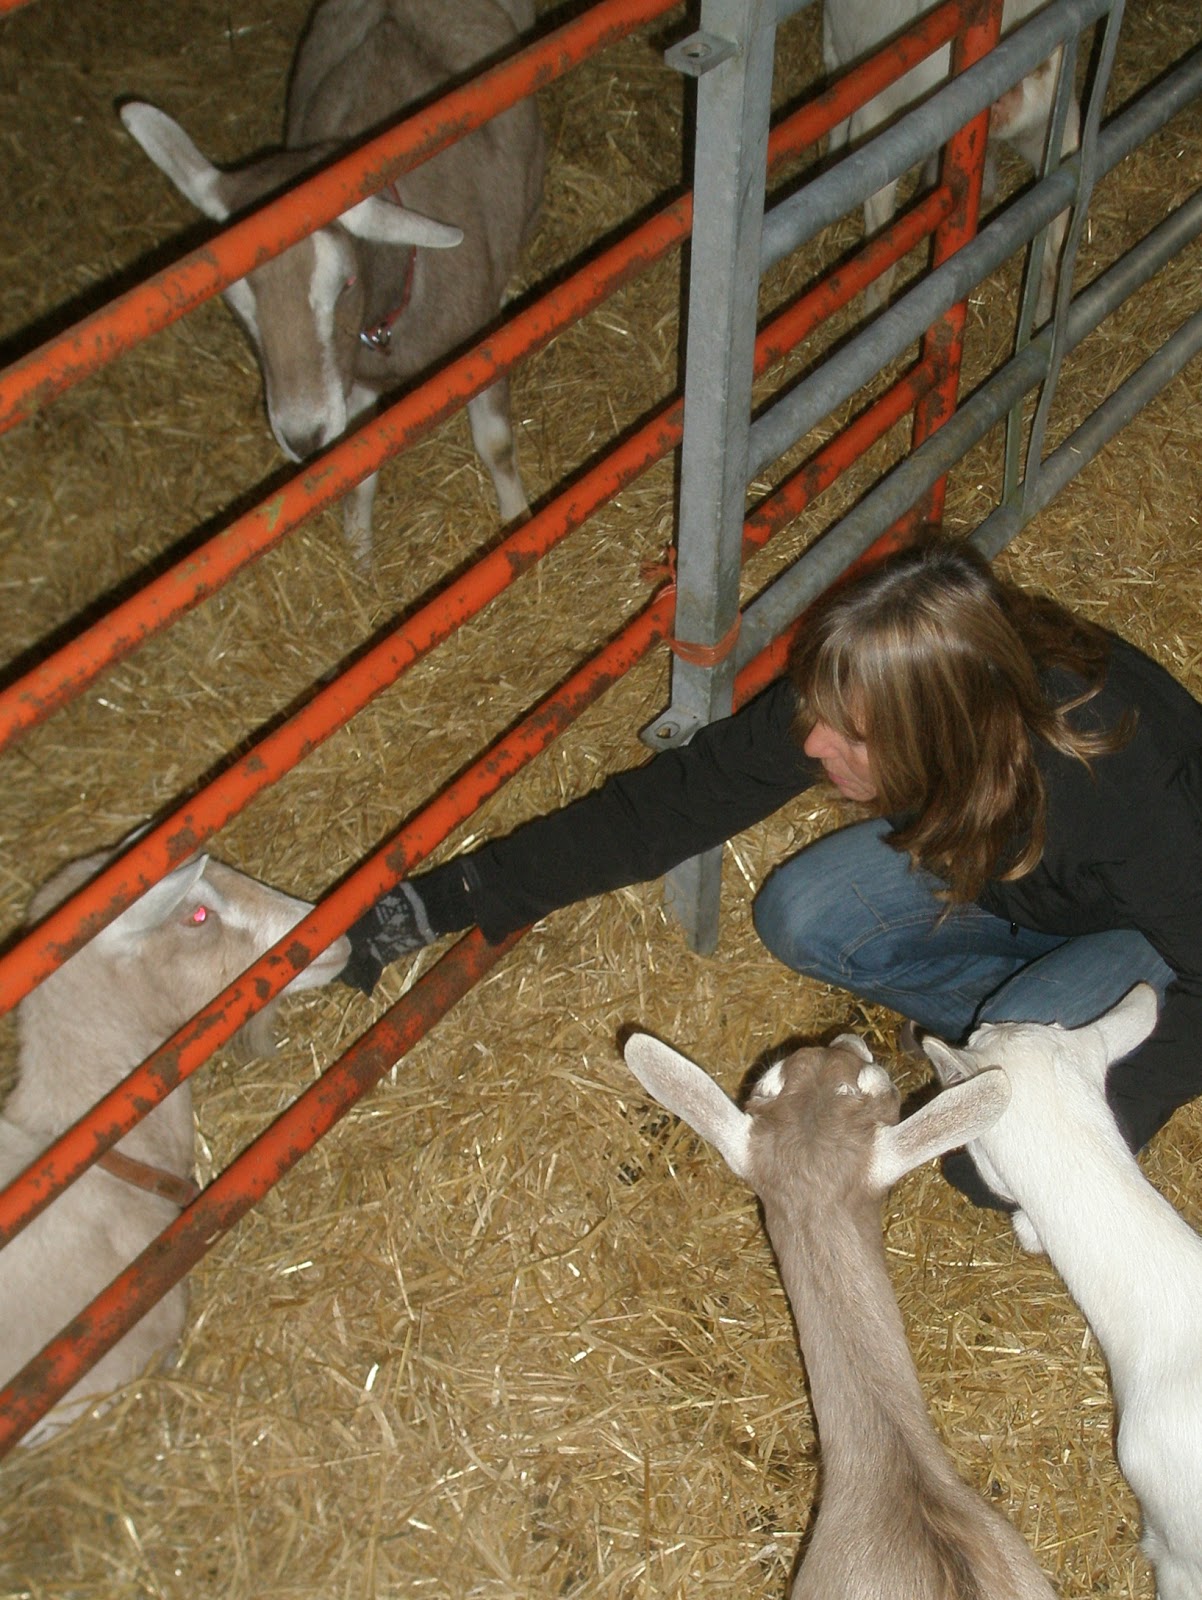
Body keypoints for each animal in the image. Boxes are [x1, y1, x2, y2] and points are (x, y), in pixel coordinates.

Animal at [120, 0, 545, 565]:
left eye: (344, 284)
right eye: (237, 305)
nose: (304, 437)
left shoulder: (481, 342)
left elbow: (496, 445)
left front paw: (517, 522)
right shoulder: (351, 377)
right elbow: (358, 473)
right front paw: (360, 560)